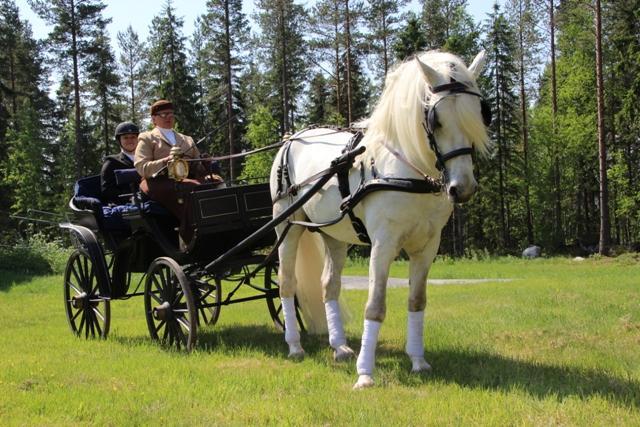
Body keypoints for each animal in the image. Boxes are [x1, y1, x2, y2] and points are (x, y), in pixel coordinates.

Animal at [270, 51, 490, 392]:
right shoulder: (383, 244)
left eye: (480, 114)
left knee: (329, 286)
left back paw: (339, 346)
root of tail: (291, 138)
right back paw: (294, 345)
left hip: (334, 235)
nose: (462, 188)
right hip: (287, 226)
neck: (409, 171)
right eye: (435, 120)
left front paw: (418, 361)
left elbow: (417, 301)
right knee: (287, 283)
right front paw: (365, 374)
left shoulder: (427, 247)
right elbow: (375, 306)